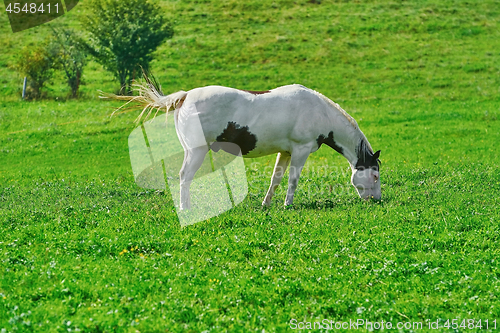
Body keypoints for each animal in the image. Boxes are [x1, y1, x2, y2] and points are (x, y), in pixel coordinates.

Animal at [111, 74, 380, 209]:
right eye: (375, 176)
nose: (376, 200)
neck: (319, 111)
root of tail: (186, 96)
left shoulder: (285, 152)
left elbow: (276, 179)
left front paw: (266, 204)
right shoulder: (301, 151)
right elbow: (293, 180)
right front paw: (288, 204)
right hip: (196, 151)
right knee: (184, 177)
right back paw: (186, 208)